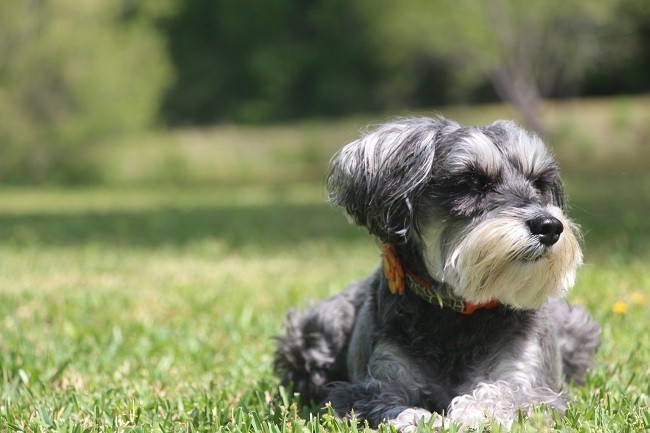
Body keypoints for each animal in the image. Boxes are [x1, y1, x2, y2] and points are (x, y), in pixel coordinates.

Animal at [270, 116, 600, 430]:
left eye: (539, 182)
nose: (550, 226)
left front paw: (475, 415)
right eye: (473, 181)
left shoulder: (531, 384)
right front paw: (421, 421)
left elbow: (503, 394)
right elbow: (386, 405)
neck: (458, 313)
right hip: (321, 328)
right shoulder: (373, 385)